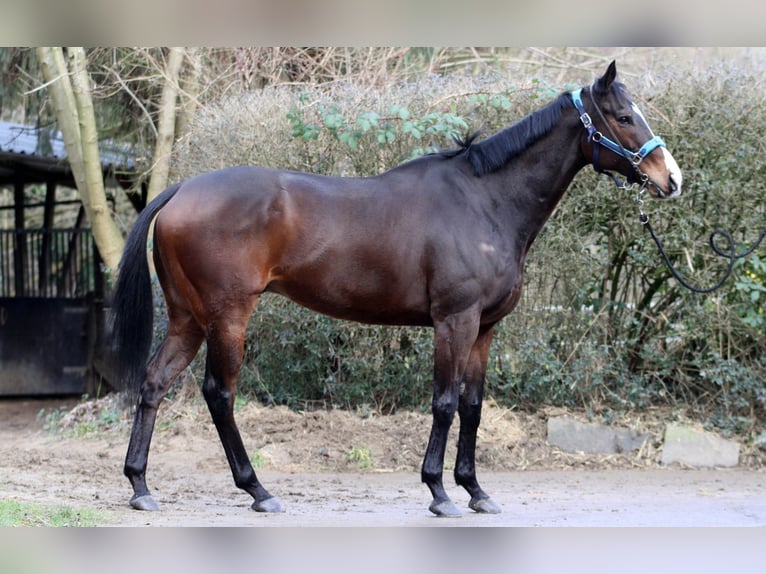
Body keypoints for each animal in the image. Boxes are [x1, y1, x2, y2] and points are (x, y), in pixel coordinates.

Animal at [110, 60, 682, 517]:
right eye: (624, 117)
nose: (671, 179)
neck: (485, 201)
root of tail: (183, 188)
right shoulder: (454, 321)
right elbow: (445, 403)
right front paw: (439, 493)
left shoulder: (485, 329)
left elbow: (473, 405)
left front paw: (476, 491)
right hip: (228, 317)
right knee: (220, 394)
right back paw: (259, 491)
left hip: (188, 319)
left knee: (154, 383)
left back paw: (141, 486)